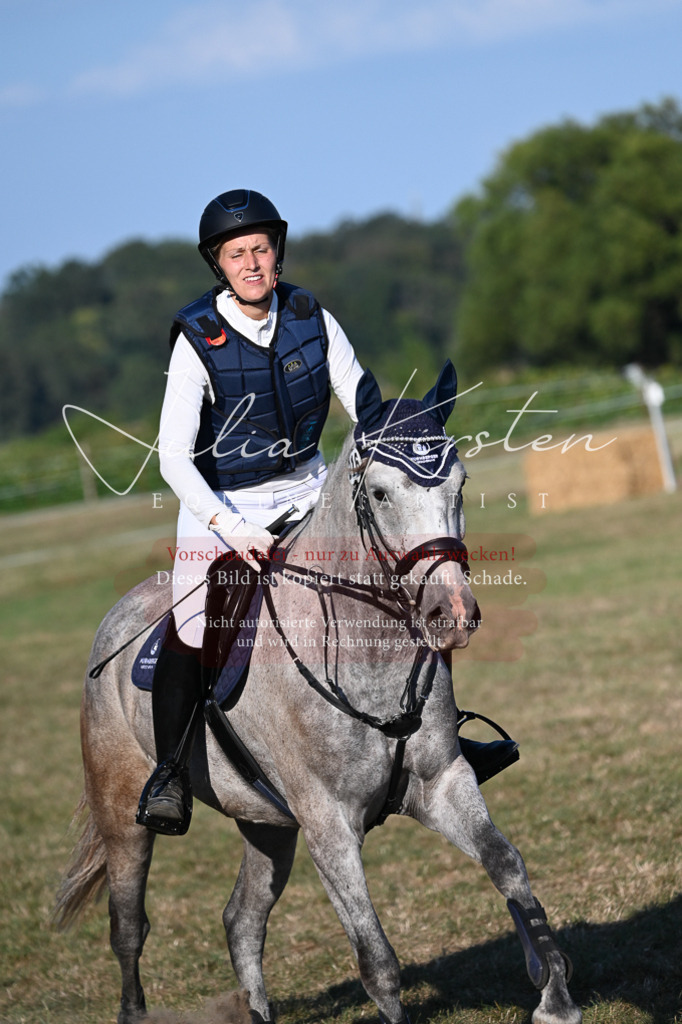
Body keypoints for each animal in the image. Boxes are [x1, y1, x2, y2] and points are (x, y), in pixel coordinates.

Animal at [55, 367, 582, 1024]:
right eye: (379, 494)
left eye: (460, 484)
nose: (452, 614)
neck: (368, 656)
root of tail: (118, 616)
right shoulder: (329, 823)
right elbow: (378, 961)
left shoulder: (442, 784)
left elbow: (507, 866)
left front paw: (555, 995)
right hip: (123, 812)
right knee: (129, 927)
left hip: (266, 821)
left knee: (241, 919)